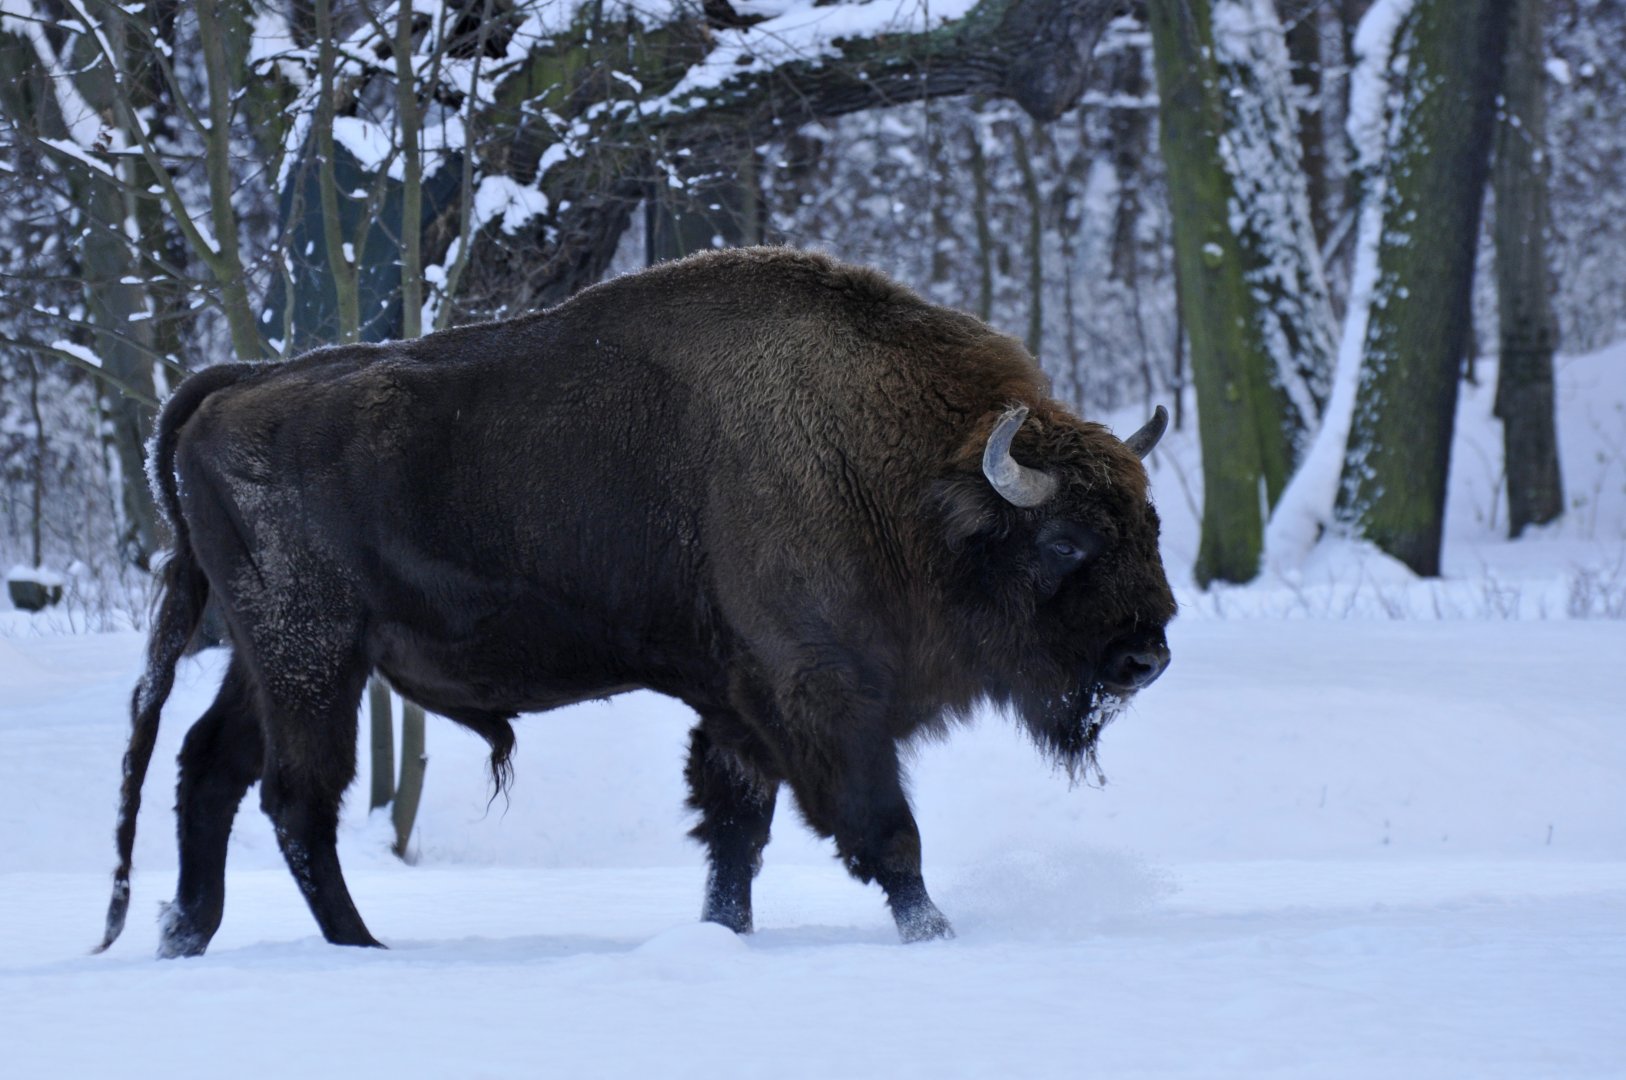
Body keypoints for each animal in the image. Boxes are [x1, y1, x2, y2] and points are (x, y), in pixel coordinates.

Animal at [97, 247, 1173, 956]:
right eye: (1068, 542)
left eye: (1150, 524)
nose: (1146, 655)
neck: (901, 477)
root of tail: (231, 388)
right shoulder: (821, 697)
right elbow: (884, 833)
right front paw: (936, 935)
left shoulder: (738, 710)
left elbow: (735, 837)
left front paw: (723, 935)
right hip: (312, 656)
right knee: (295, 798)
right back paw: (359, 949)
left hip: (266, 656)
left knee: (211, 769)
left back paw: (187, 933)